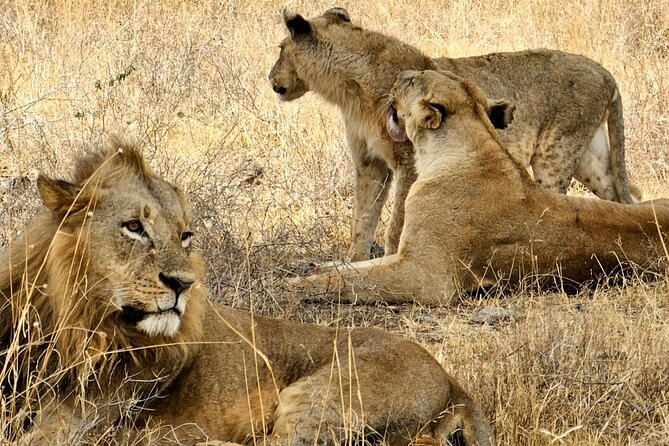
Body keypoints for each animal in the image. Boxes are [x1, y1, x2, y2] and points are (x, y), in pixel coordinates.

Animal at [0, 140, 494, 446]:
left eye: (185, 236)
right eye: (134, 227)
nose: (183, 284)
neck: (79, 325)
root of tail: (451, 380)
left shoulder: (76, 426)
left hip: (321, 396)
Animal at [269, 7, 639, 262]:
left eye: (280, 49)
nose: (270, 79)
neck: (349, 91)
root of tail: (606, 73)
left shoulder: (409, 161)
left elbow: (396, 222)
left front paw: (392, 259)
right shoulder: (369, 164)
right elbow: (361, 220)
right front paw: (355, 263)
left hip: (555, 155)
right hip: (591, 161)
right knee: (623, 197)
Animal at [286, 70, 669, 306]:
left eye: (410, 80)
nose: (394, 80)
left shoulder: (427, 277)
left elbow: (352, 282)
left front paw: (296, 285)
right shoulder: (408, 254)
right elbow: (352, 269)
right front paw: (318, 267)